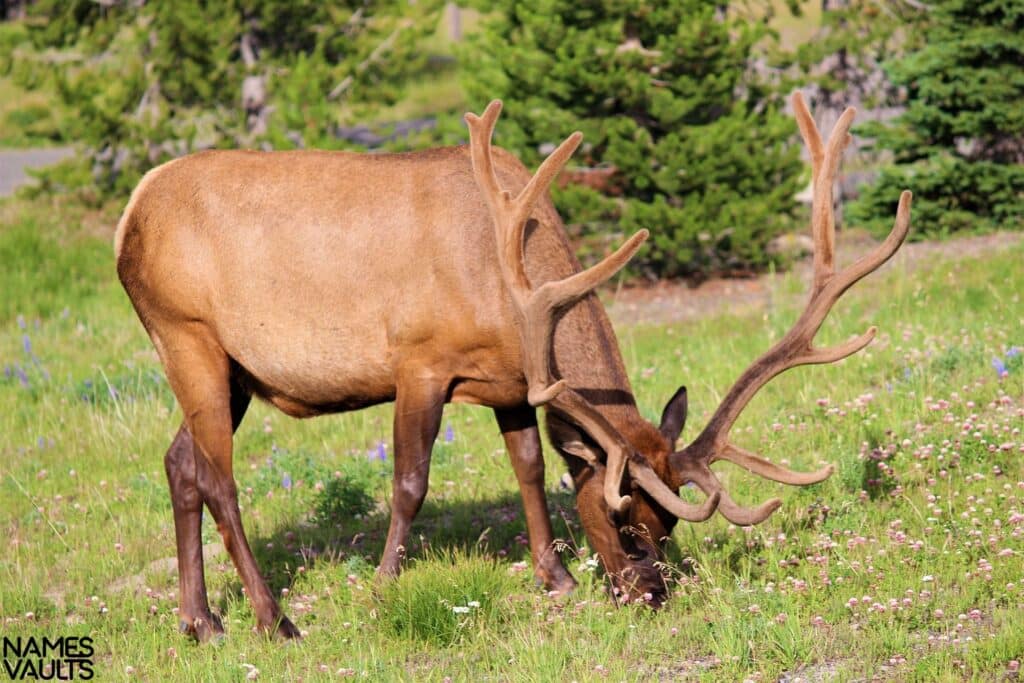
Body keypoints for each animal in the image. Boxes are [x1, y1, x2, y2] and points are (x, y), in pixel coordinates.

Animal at [114, 92, 913, 643]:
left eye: (667, 525)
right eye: (623, 518)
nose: (649, 594)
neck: (510, 289)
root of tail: (129, 217)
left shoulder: (509, 382)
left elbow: (529, 466)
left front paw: (555, 580)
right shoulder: (420, 362)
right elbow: (410, 483)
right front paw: (383, 586)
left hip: (233, 370)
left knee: (178, 462)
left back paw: (200, 620)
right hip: (187, 334)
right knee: (219, 478)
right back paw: (273, 619)